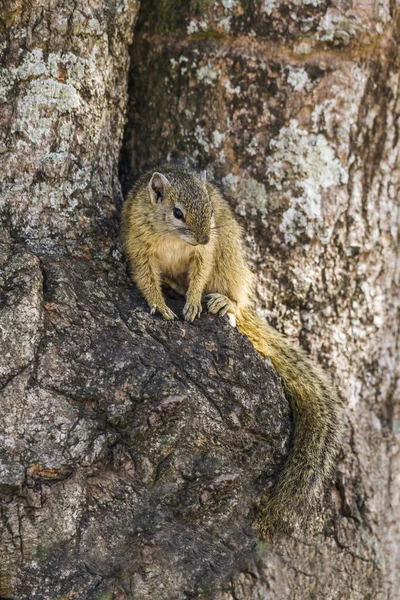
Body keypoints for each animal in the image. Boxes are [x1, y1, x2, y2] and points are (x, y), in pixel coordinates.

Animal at [120, 164, 342, 536]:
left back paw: (226, 304)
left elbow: (200, 272)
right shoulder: (139, 243)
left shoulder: (205, 254)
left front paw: (193, 303)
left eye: (210, 208)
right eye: (177, 212)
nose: (203, 237)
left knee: (234, 294)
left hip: (228, 256)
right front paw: (159, 305)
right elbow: (144, 276)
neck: (174, 239)